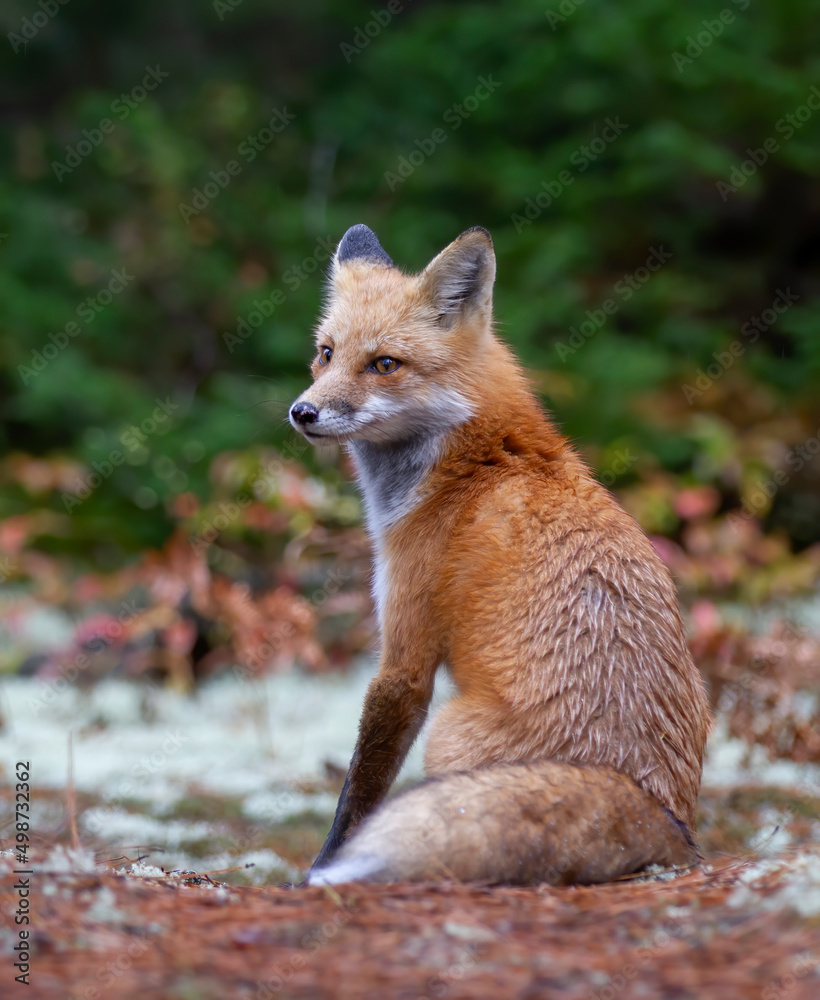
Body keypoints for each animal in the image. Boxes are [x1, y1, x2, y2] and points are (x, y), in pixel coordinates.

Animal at [290, 225, 712, 884]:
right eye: (326, 353)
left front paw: (319, 868)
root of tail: (660, 813)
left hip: (446, 734)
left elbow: (358, 793)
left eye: (384, 364)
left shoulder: (405, 656)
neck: (470, 463)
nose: (302, 412)